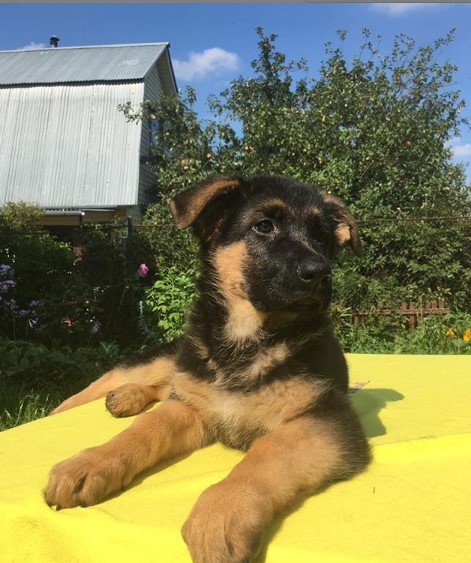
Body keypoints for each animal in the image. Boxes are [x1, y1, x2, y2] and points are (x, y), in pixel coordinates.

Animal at [47, 176, 372, 563]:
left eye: (322, 236)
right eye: (264, 226)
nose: (319, 273)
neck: (247, 338)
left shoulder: (325, 417)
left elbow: (269, 449)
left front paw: (221, 512)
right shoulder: (191, 405)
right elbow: (144, 429)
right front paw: (90, 463)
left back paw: (125, 399)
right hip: (169, 357)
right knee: (110, 383)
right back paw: (82, 405)